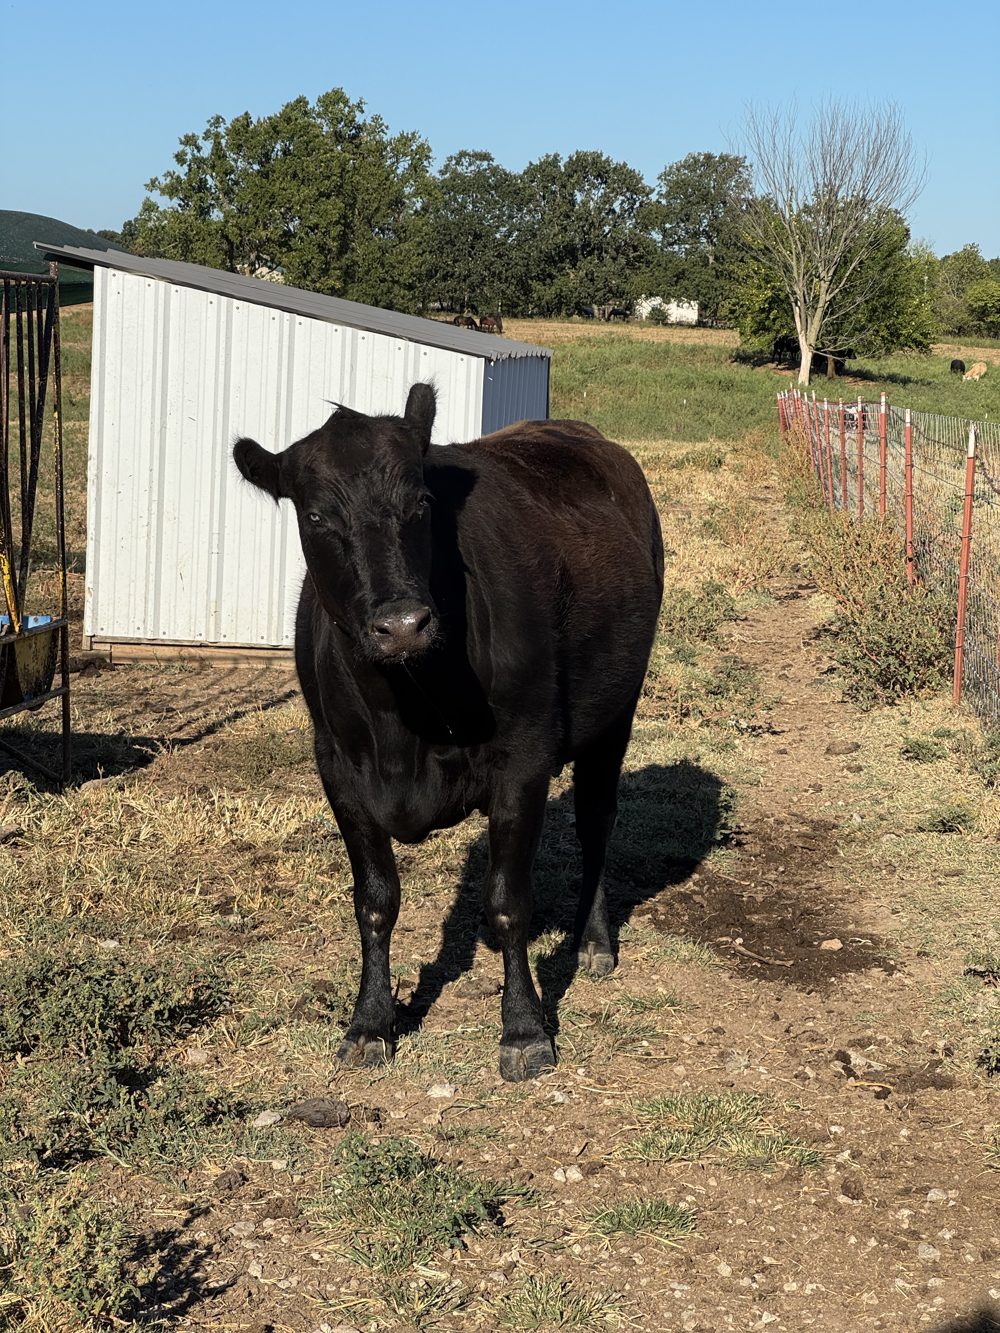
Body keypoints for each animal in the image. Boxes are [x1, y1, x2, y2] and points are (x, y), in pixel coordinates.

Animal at [233, 384, 664, 1081]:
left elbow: (508, 901)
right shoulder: (338, 769)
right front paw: (370, 1023)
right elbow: (375, 901)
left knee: (597, 820)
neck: (402, 720)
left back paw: (595, 942)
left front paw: (523, 1029)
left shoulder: (524, 759)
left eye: (421, 502)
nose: (402, 624)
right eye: (317, 516)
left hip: (616, 710)